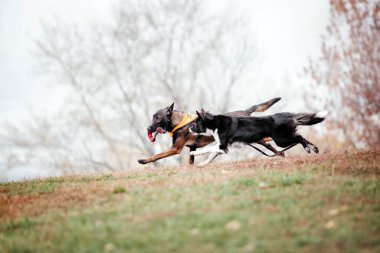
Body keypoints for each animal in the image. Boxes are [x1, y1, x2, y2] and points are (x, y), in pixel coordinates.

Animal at [137, 97, 282, 164]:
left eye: (157, 118)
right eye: (153, 117)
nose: (148, 128)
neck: (180, 123)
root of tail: (245, 112)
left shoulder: (175, 149)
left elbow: (157, 155)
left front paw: (144, 161)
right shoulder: (192, 148)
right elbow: (191, 161)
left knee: (268, 142)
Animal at [189, 109, 328, 165]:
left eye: (195, 123)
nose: (189, 128)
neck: (214, 123)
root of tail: (288, 116)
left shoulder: (222, 146)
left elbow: (208, 150)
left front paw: (194, 154)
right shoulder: (222, 147)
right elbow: (211, 156)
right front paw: (203, 164)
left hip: (281, 140)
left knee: (299, 138)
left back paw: (308, 148)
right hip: (284, 138)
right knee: (301, 137)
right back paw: (314, 148)